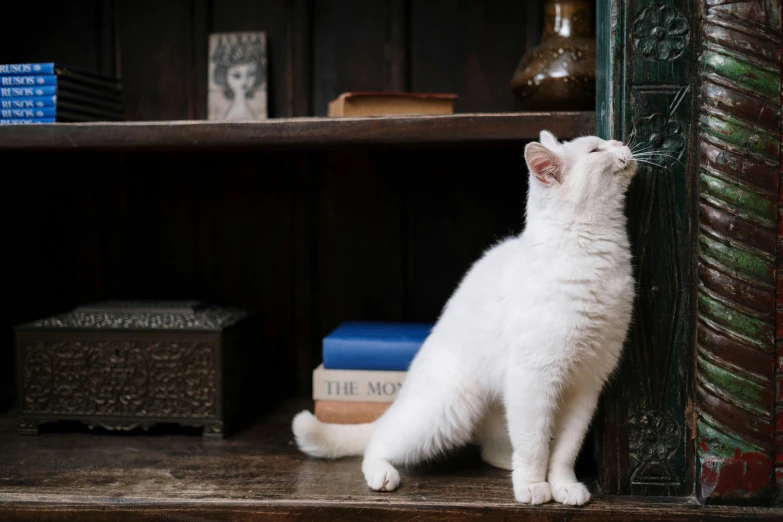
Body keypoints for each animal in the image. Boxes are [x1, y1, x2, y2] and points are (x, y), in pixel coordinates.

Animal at [290, 131, 640, 504]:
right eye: (595, 149)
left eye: (606, 142)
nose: (620, 141)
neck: (593, 249)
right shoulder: (534, 378)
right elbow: (534, 446)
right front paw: (533, 487)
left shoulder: (586, 384)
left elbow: (564, 449)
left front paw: (563, 486)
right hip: (447, 411)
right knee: (379, 441)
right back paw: (382, 475)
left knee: (493, 448)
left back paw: (506, 464)